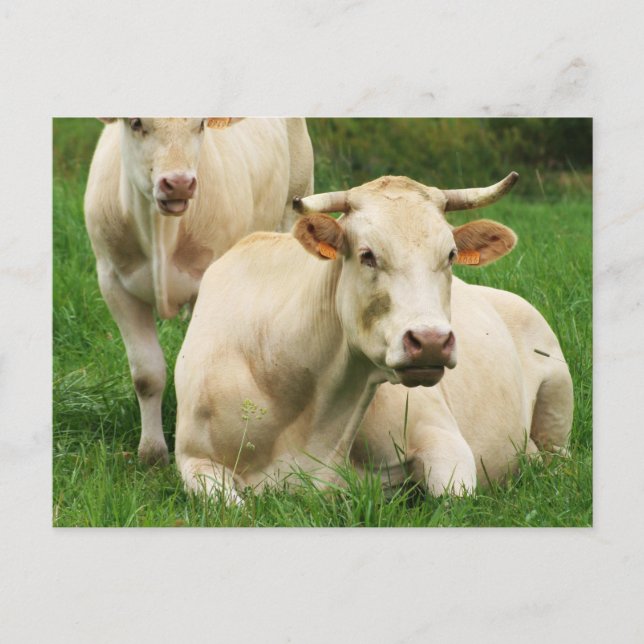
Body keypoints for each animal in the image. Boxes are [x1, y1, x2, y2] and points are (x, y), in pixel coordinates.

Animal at [84, 117, 314, 465]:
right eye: (137, 123)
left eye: (201, 124)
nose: (179, 183)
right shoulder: (112, 281)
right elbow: (147, 374)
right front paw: (152, 453)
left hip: (295, 199)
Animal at [173, 171, 566, 503]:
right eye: (367, 255)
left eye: (451, 254)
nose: (431, 341)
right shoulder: (195, 458)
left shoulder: (442, 436)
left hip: (558, 389)